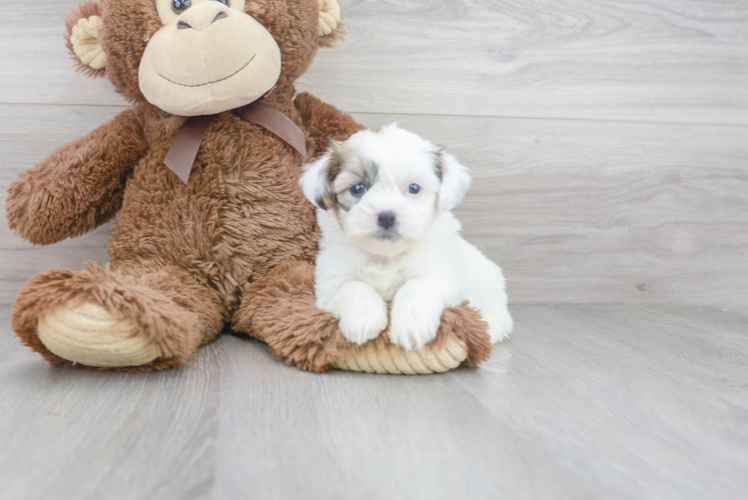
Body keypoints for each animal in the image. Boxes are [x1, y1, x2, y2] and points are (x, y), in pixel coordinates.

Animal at [298, 124, 516, 350]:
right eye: (358, 188)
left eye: (414, 188)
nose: (386, 216)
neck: (385, 257)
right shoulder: (330, 283)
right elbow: (353, 286)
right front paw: (363, 318)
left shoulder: (442, 275)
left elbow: (417, 285)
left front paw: (412, 325)